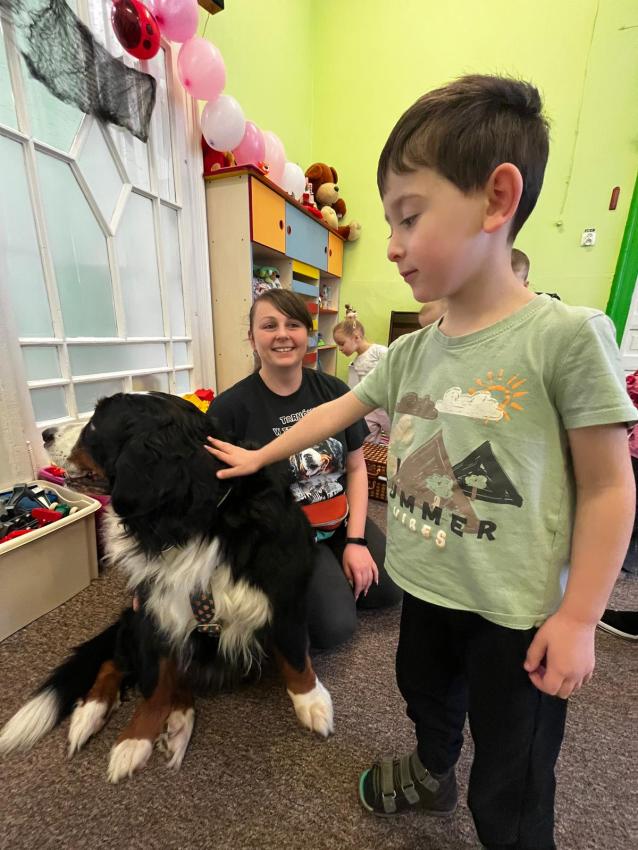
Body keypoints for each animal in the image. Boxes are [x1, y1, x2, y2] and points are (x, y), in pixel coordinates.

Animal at [0, 392, 333, 782]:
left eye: (95, 423)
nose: (45, 434)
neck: (192, 523)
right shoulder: (154, 607)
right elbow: (156, 682)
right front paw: (134, 740)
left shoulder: (285, 593)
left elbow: (295, 656)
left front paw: (312, 702)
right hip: (135, 619)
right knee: (117, 661)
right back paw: (92, 712)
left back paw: (177, 722)